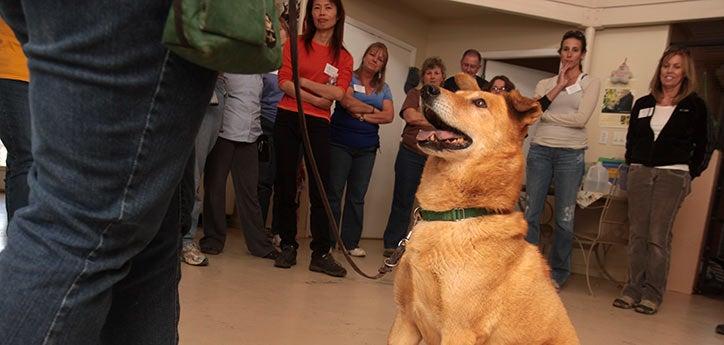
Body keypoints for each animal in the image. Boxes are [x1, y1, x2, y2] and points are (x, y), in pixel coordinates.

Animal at [388, 74, 580, 342]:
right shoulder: (405, 318)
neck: (454, 215)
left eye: (479, 103)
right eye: (456, 92)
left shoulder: (458, 332)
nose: (427, 89)